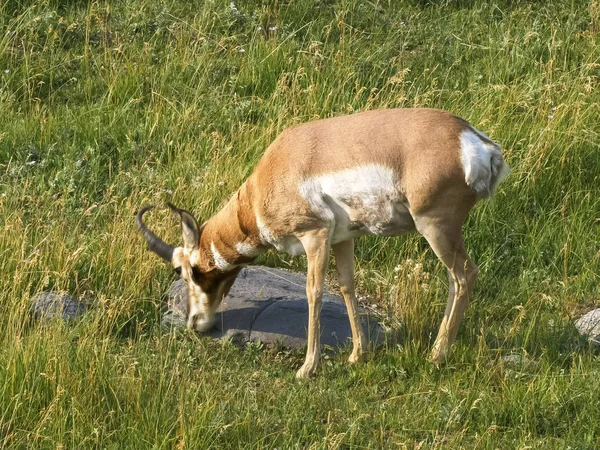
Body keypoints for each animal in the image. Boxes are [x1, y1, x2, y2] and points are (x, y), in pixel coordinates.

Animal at [138, 109, 508, 380]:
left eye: (184, 270)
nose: (193, 324)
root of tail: (473, 140)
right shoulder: (344, 239)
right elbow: (346, 286)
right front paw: (357, 355)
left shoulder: (314, 235)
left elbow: (314, 291)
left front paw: (307, 368)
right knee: (455, 280)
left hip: (434, 226)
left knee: (464, 274)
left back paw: (436, 356)